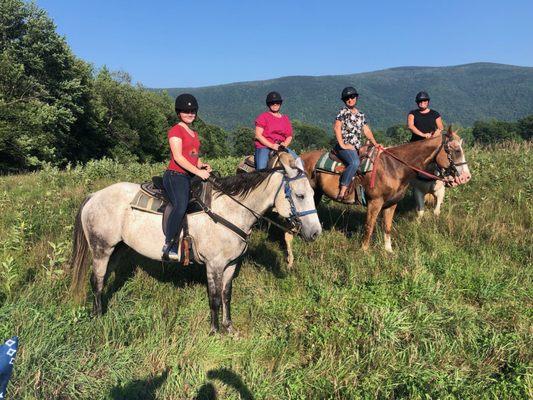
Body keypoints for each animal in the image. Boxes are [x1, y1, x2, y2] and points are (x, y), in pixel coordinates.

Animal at [70, 154, 320, 334]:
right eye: (299, 195)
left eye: (312, 193)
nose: (316, 232)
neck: (230, 210)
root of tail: (94, 196)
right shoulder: (214, 265)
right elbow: (215, 298)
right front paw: (215, 331)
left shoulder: (230, 265)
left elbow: (227, 295)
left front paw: (229, 327)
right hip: (101, 249)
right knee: (96, 281)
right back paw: (98, 316)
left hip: (117, 249)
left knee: (103, 279)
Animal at [286, 126, 470, 258]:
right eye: (456, 150)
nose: (466, 177)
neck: (394, 167)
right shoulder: (375, 202)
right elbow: (370, 225)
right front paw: (364, 250)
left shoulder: (391, 204)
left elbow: (387, 226)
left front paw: (388, 250)